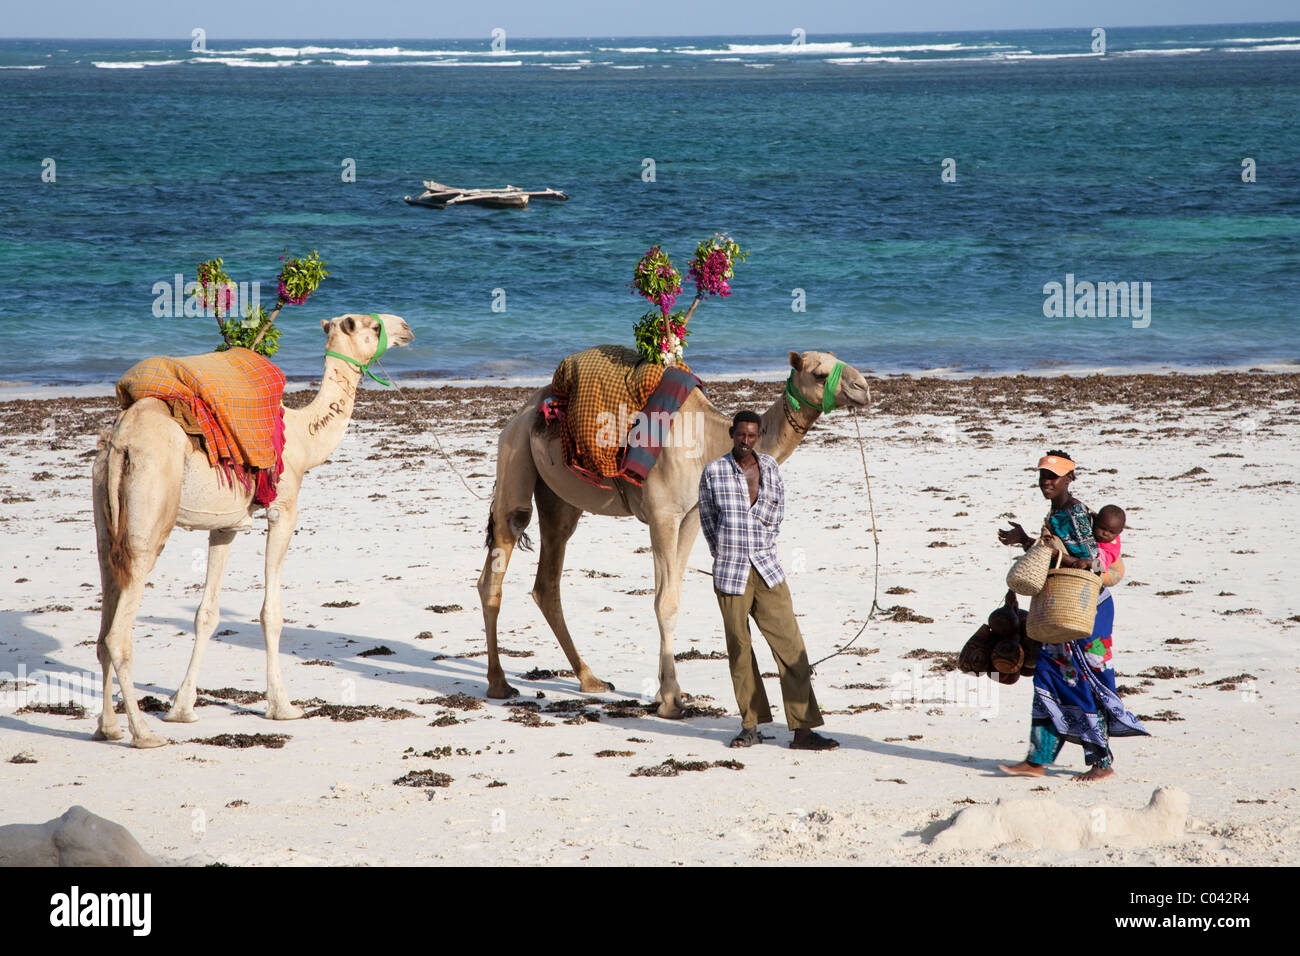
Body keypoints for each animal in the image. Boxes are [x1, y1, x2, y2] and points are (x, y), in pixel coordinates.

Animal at [91, 314, 413, 749]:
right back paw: (143, 733)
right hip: (149, 512)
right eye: (369, 326)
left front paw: (182, 709)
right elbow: (271, 612)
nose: (405, 327)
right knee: (118, 633)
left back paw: (107, 727)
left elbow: (207, 614)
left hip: (104, 513)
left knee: (103, 620)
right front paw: (283, 707)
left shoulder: (225, 524)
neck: (303, 437)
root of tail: (121, 440)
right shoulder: (284, 510)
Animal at [473, 351, 868, 717]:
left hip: (559, 497)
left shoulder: (691, 514)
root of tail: (520, 415)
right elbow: (663, 601)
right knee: (501, 554)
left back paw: (590, 678)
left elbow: (674, 597)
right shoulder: (662, 514)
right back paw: (498, 683)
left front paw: (667, 693)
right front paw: (670, 702)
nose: (862, 387)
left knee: (549, 578)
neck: (709, 440)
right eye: (819, 373)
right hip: (515, 457)